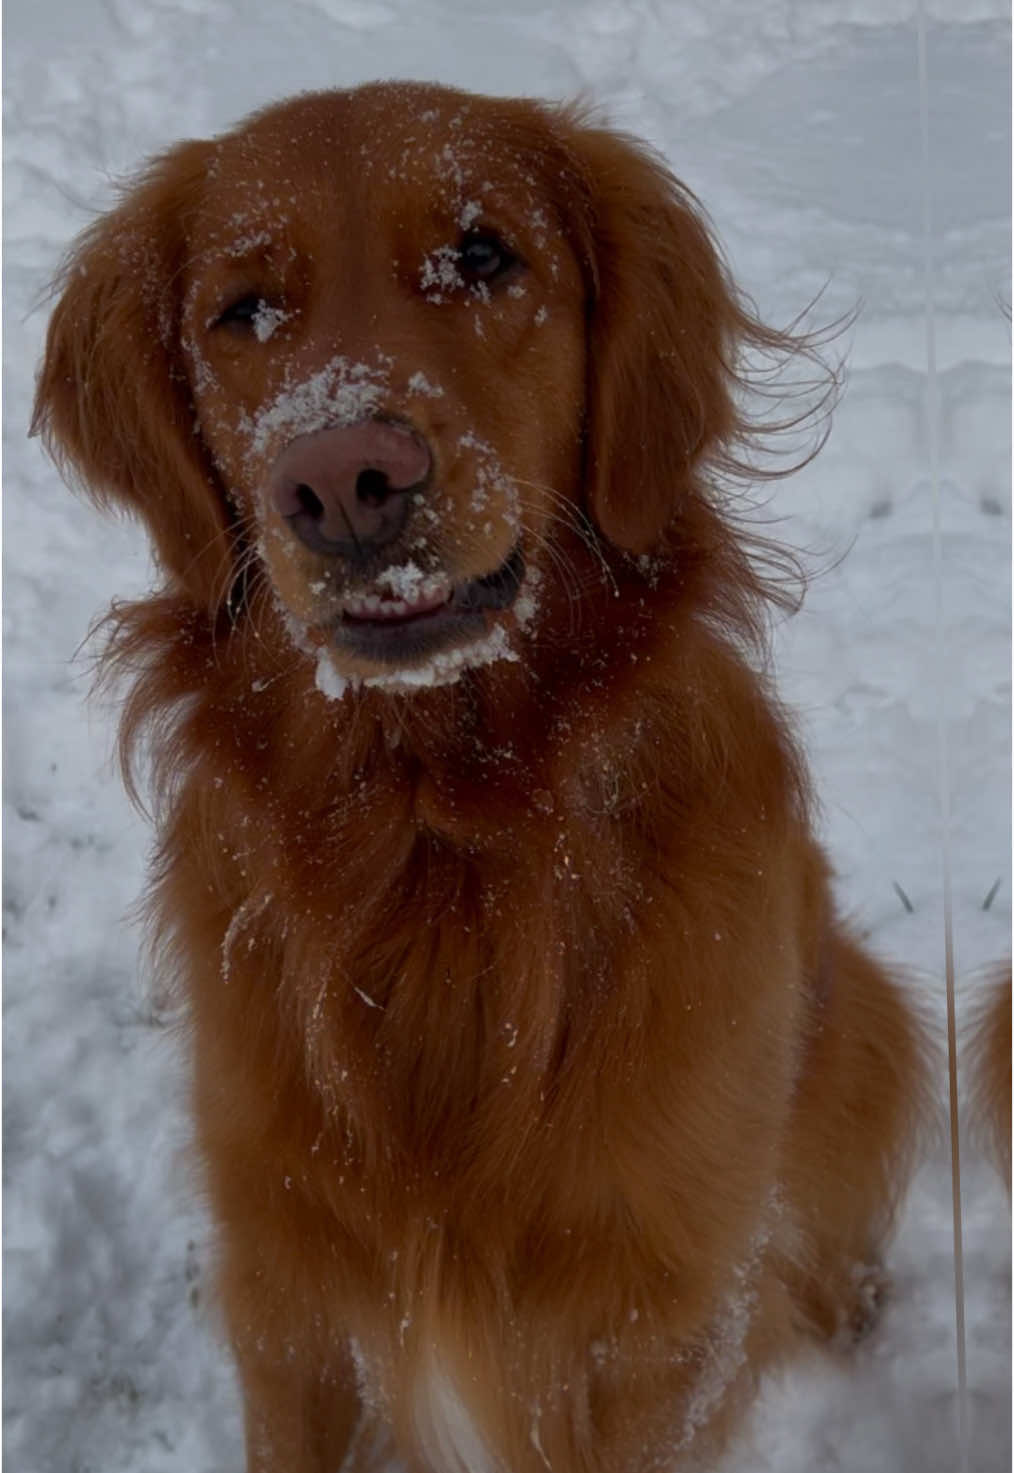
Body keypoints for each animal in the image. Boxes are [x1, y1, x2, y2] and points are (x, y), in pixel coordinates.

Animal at [33, 83, 925, 1473]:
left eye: (485, 255)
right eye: (246, 310)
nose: (343, 480)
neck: (436, 836)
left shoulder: (655, 1322)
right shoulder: (289, 1297)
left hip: (874, 1028)